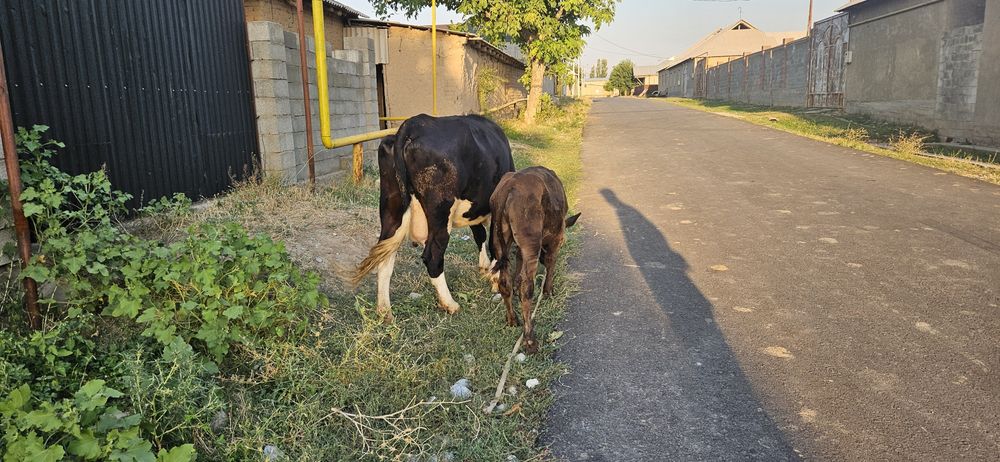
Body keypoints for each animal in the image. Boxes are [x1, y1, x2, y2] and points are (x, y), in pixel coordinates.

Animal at [352, 114, 515, 323]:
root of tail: (414, 124)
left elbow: (480, 234)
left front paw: (485, 268)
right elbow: (494, 243)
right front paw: (495, 279)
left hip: (392, 208)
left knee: (385, 258)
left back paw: (384, 311)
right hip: (441, 212)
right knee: (433, 256)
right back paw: (450, 304)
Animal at [488, 166, 580, 354]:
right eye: (563, 241)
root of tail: (509, 187)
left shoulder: (520, 249)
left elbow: (518, 266)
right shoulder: (555, 239)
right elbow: (551, 265)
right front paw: (548, 292)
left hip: (499, 240)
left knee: (504, 282)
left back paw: (512, 319)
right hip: (531, 241)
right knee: (527, 288)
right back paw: (530, 340)